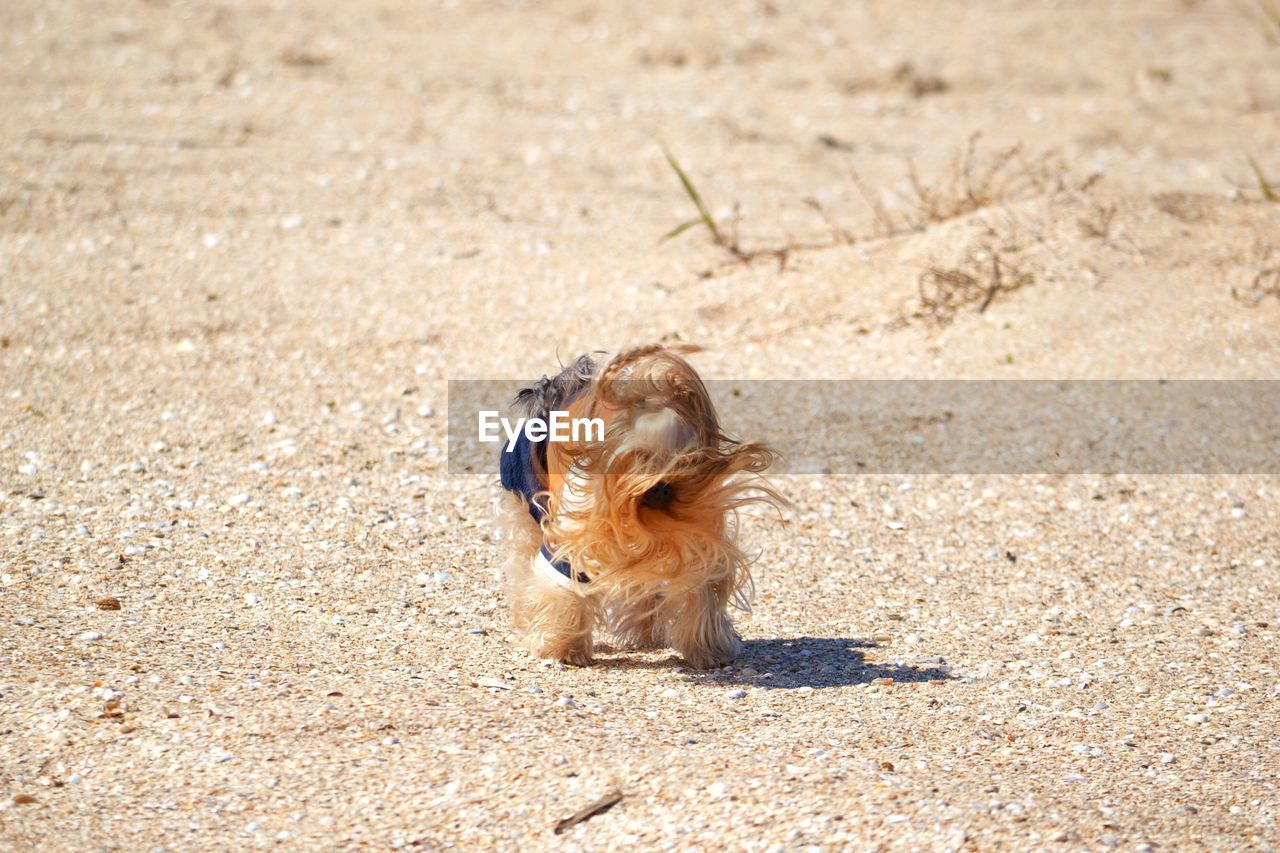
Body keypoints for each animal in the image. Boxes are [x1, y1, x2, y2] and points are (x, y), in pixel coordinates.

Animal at [496, 343, 778, 666]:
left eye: (687, 459)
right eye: (637, 459)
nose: (661, 488)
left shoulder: (698, 534)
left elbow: (702, 583)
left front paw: (709, 649)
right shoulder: (572, 530)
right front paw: (565, 648)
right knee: (522, 558)